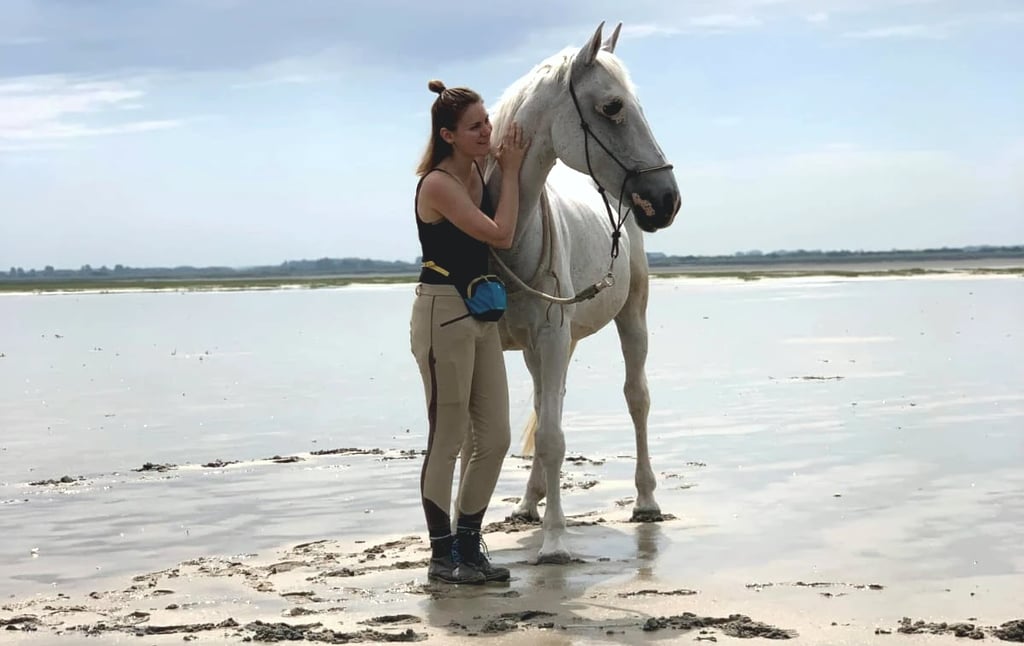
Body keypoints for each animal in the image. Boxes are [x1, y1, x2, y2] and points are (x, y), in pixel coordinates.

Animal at [477, 21, 682, 564]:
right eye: (612, 106)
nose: (667, 200)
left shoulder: (552, 337)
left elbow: (551, 437)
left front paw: (554, 543)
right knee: (546, 401)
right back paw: (528, 503)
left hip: (630, 318)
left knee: (636, 399)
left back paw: (646, 501)